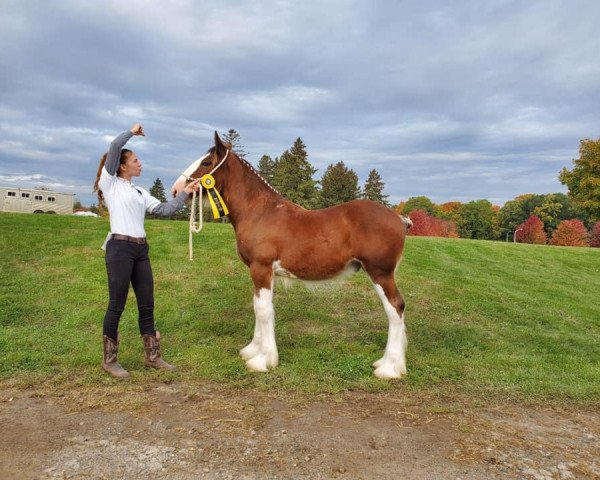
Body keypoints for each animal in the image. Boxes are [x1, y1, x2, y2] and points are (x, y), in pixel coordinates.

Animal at [171, 132, 410, 378]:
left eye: (206, 162)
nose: (177, 189)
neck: (259, 212)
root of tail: (399, 219)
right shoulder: (260, 273)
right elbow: (257, 306)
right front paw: (252, 350)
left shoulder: (261, 268)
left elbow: (263, 310)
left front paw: (263, 360)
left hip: (380, 273)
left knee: (395, 308)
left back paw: (389, 367)